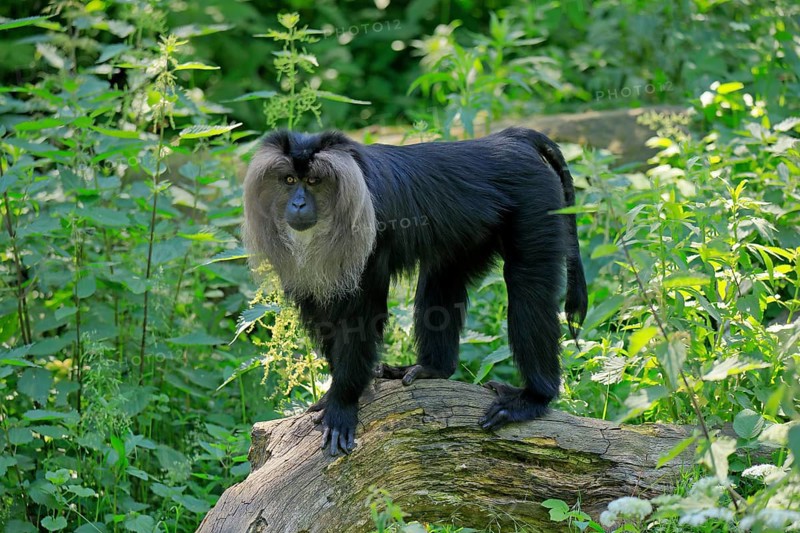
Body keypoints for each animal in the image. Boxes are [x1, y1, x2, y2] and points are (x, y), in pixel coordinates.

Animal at [242, 127, 587, 456]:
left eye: (313, 181)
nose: (298, 203)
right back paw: (434, 368)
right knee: (443, 273)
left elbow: (362, 316)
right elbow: (324, 316)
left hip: (535, 204)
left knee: (527, 285)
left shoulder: (370, 236)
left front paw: (342, 405)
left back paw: (535, 397)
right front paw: (334, 396)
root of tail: (511, 139)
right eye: (289, 180)